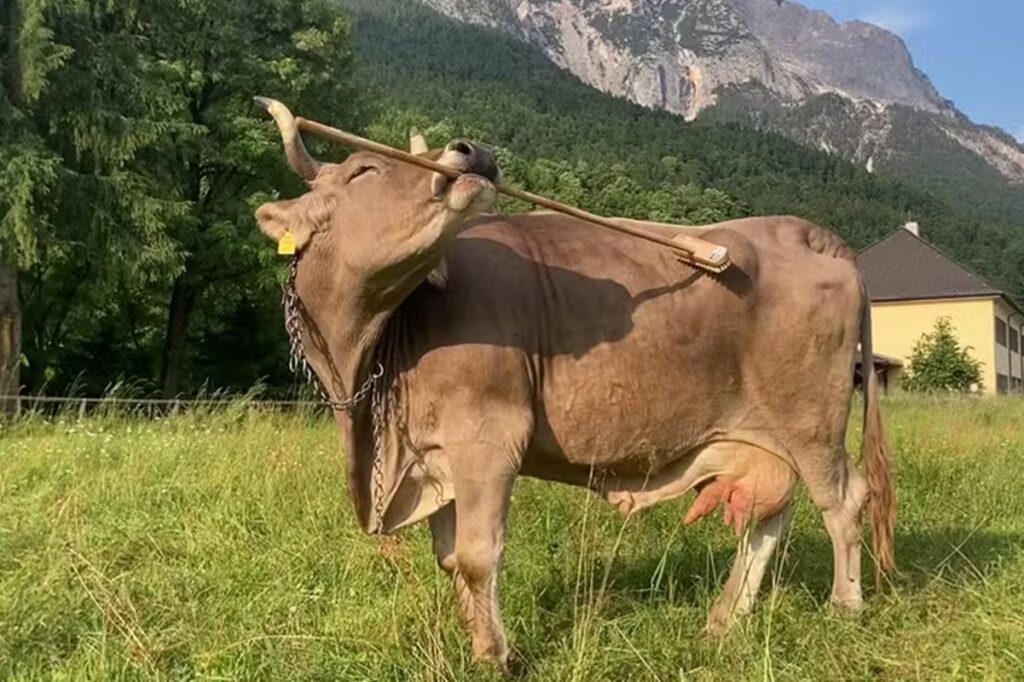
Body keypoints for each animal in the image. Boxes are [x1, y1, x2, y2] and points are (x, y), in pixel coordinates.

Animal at [253, 99, 894, 671]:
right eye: (363, 171)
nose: (472, 151)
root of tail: (802, 231)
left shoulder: (488, 438)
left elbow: (477, 555)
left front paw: (497, 656)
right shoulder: (433, 455)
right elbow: (449, 558)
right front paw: (478, 643)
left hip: (811, 419)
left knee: (842, 500)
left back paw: (844, 606)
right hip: (763, 435)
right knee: (772, 514)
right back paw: (724, 619)